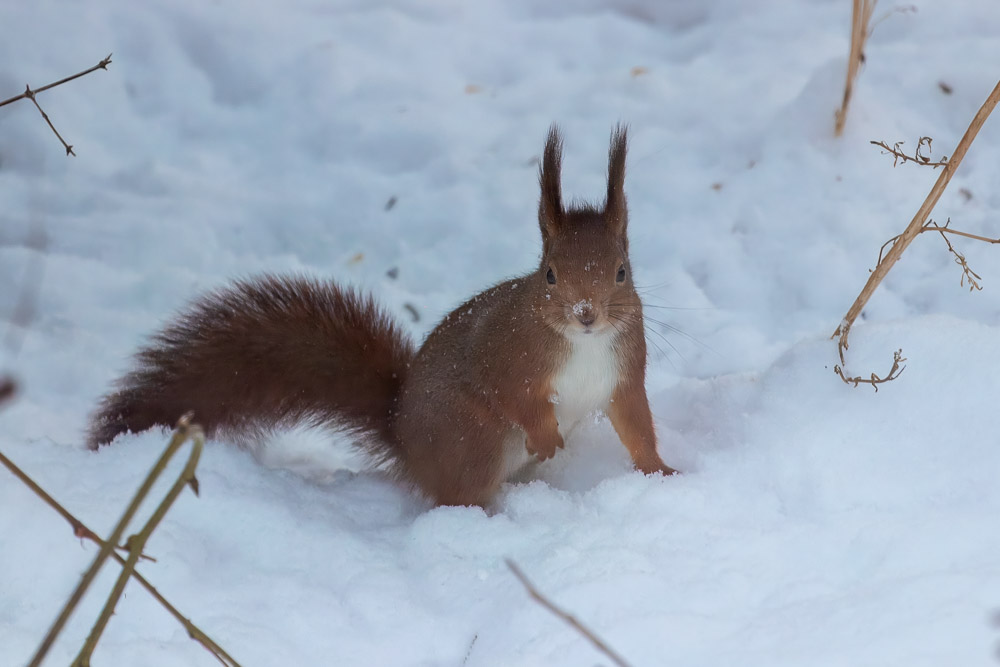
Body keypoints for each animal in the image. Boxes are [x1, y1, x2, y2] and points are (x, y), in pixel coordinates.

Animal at [88, 125, 680, 504]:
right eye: (550, 274)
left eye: (622, 271)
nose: (586, 313)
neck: (583, 344)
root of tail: (405, 440)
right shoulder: (507, 355)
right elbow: (512, 394)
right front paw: (546, 435)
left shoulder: (624, 371)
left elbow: (636, 425)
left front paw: (662, 473)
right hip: (474, 441)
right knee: (460, 495)